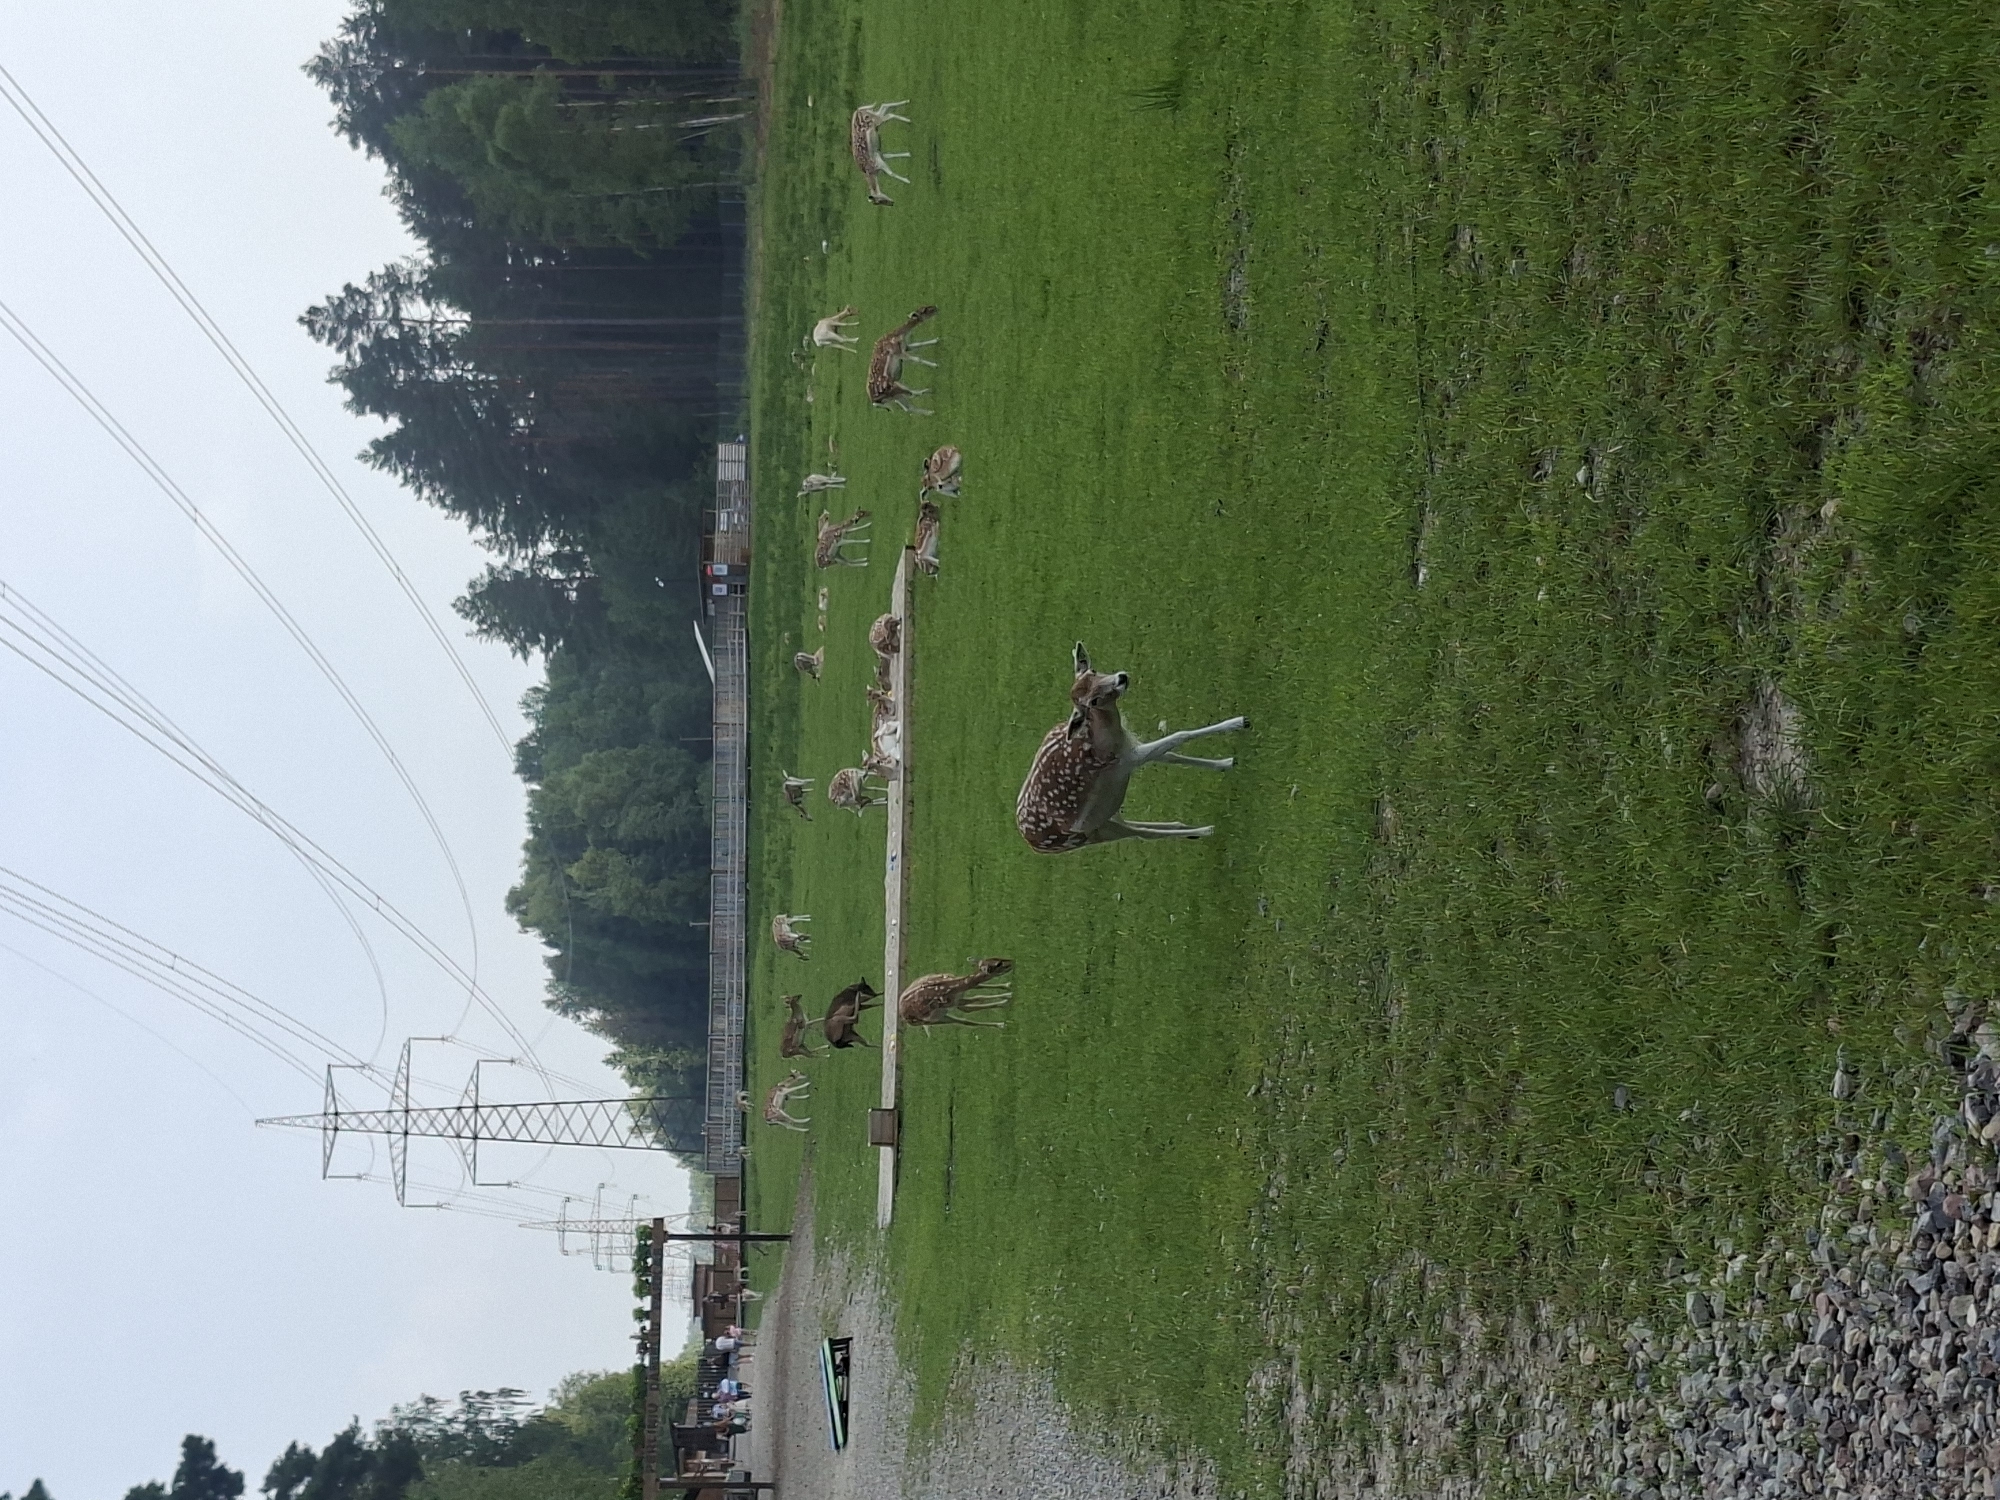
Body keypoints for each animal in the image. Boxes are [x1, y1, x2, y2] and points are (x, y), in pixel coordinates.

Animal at [1015, 642, 1247, 852]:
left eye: (1093, 671)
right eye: (1094, 701)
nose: (1121, 678)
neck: (1110, 738)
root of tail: (1033, 844)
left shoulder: (1129, 748)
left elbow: (1171, 754)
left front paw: (1226, 762)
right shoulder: (1127, 759)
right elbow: (1178, 736)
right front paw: (1239, 722)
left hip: (1105, 816)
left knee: (1132, 825)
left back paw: (1185, 827)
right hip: (1088, 835)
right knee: (1143, 835)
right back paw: (1204, 830)